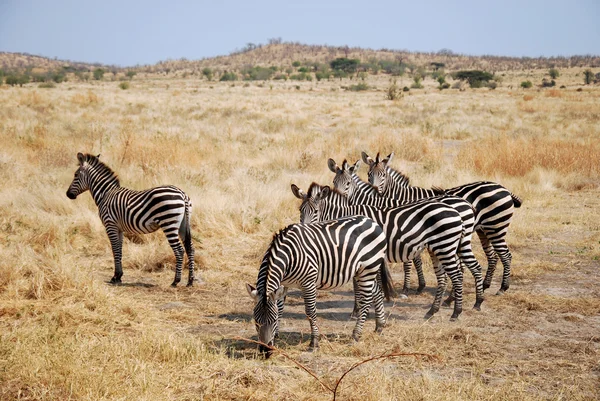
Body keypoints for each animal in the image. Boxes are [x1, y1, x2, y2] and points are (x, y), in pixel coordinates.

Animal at [65, 152, 197, 286]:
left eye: (75, 175)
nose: (68, 194)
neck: (105, 194)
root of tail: (182, 194)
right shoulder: (119, 228)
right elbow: (119, 249)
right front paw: (119, 276)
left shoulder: (110, 225)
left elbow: (114, 249)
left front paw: (115, 277)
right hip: (183, 224)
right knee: (190, 248)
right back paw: (190, 280)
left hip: (169, 223)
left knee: (179, 250)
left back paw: (176, 281)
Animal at [245, 216, 394, 356]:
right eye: (256, 321)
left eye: (273, 320)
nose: (265, 351)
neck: (289, 255)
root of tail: (372, 221)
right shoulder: (283, 283)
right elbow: (280, 308)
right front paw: (276, 336)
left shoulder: (308, 283)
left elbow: (310, 312)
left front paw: (314, 343)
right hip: (361, 272)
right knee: (377, 292)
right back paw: (379, 326)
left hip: (368, 268)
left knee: (366, 301)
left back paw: (356, 336)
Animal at [292, 183, 466, 320]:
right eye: (300, 210)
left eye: (315, 211)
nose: (304, 229)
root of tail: (455, 210)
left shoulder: (359, 254)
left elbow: (358, 285)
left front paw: (358, 311)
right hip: (437, 248)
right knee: (444, 278)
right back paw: (432, 311)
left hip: (445, 246)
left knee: (457, 276)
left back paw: (456, 312)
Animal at [360, 150, 520, 294]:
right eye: (369, 174)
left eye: (383, 175)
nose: (374, 190)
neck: (401, 198)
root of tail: (504, 189)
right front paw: (419, 285)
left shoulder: (408, 231)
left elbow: (411, 261)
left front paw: (409, 287)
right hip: (484, 230)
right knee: (493, 256)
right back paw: (485, 285)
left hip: (496, 228)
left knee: (506, 255)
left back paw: (502, 288)